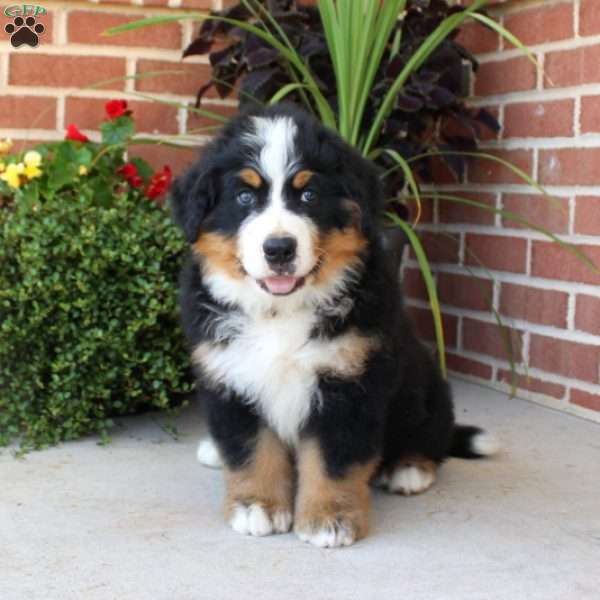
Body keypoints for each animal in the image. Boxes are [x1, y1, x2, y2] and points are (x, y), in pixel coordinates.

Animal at [171, 104, 500, 548]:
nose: (279, 249)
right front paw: (257, 506)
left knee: (431, 438)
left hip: (427, 388)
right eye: (244, 197)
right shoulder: (232, 377)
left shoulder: (349, 383)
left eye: (309, 195)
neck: (281, 312)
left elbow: (333, 461)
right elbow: (251, 449)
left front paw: (329, 519)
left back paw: (409, 469)